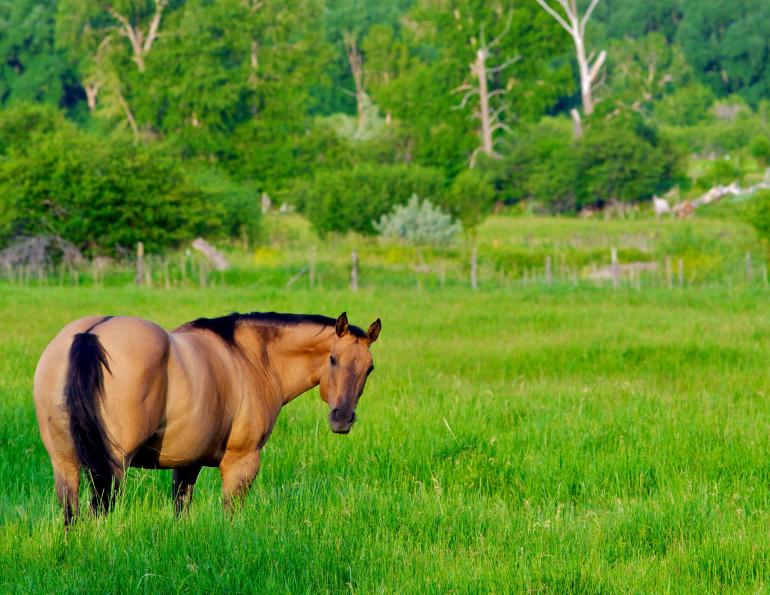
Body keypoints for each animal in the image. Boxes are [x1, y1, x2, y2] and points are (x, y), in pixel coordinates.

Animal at [33, 310, 380, 526]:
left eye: (370, 368)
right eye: (333, 359)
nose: (342, 418)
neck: (251, 358)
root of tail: (89, 333)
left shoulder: (188, 463)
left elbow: (181, 510)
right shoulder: (241, 464)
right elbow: (231, 515)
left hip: (65, 464)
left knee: (72, 516)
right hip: (113, 467)